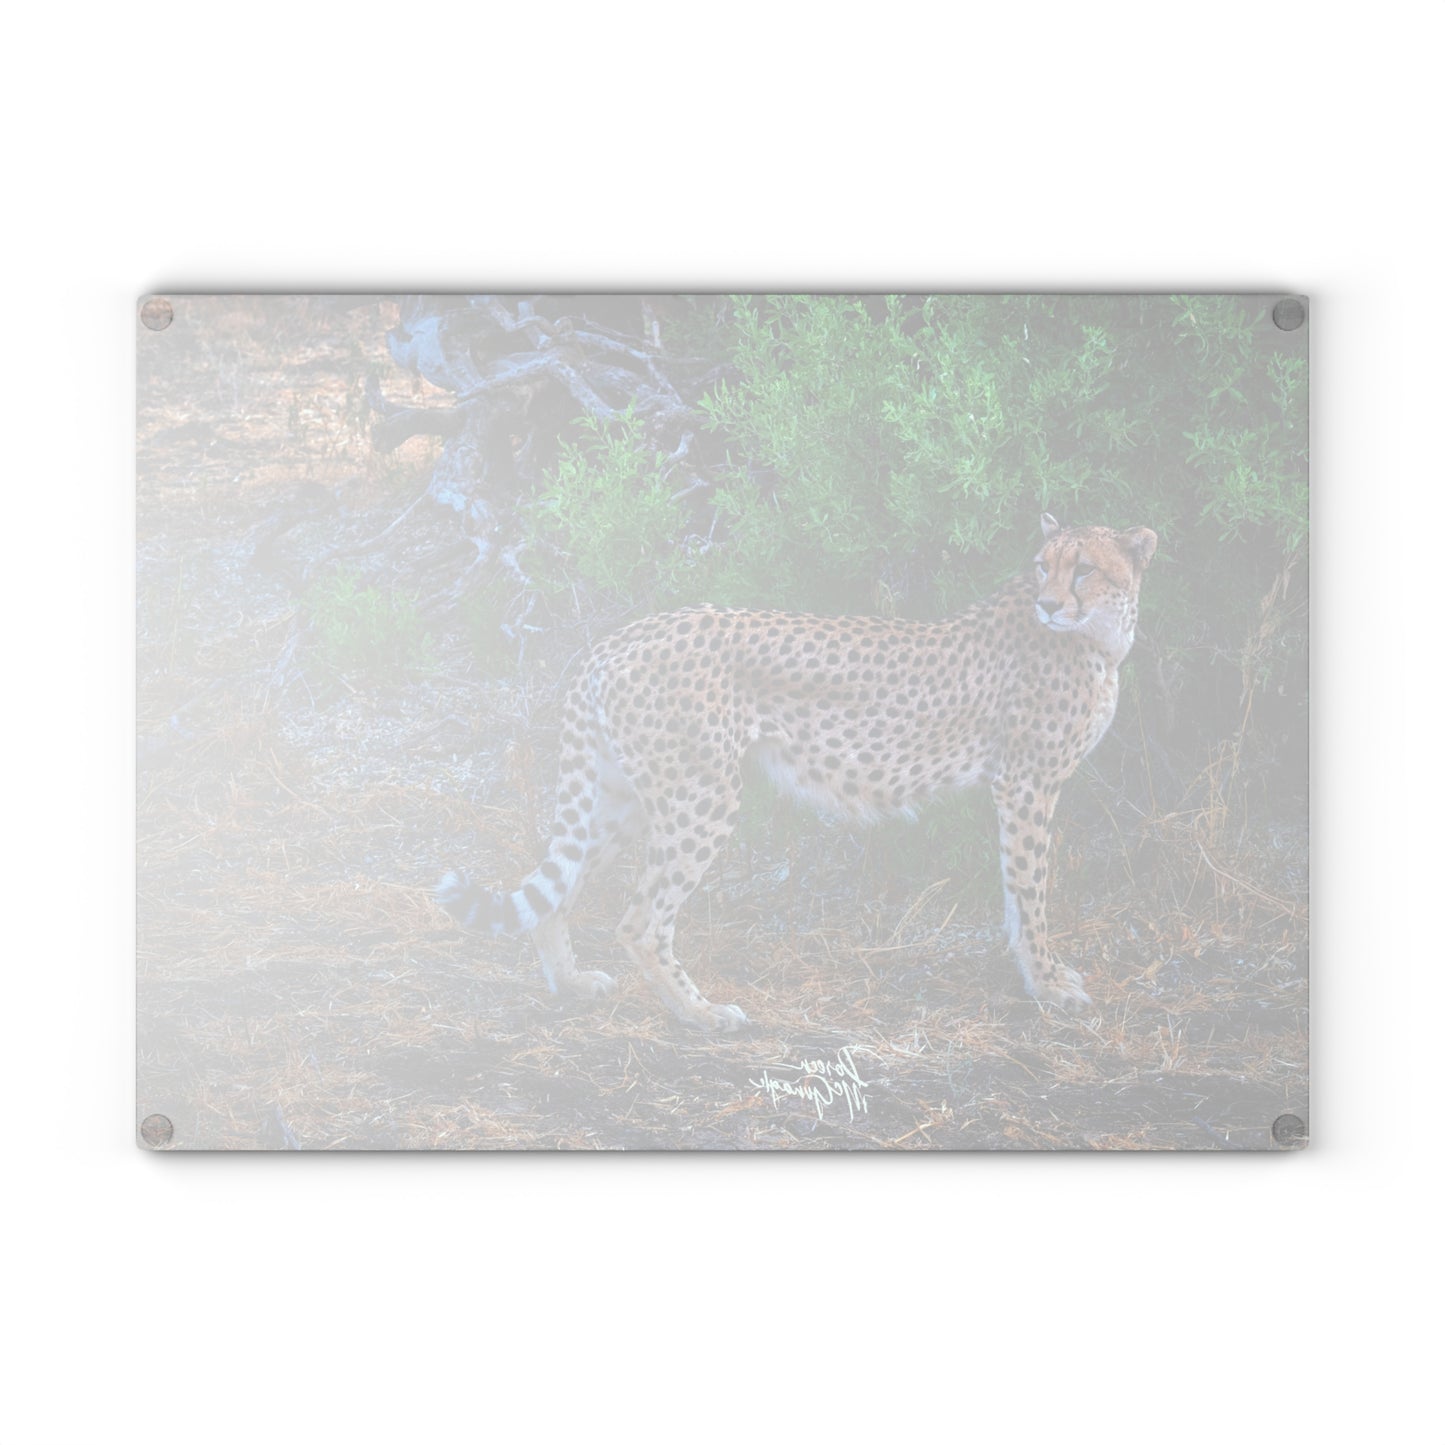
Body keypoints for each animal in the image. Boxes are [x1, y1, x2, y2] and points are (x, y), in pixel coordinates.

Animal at [437, 514, 1158, 1031]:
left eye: (1083, 568)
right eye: (1044, 566)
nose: (1048, 603)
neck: (1098, 635)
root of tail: (623, 634)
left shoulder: (1019, 785)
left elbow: (1017, 894)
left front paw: (1037, 976)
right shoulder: (1027, 783)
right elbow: (1030, 892)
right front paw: (1047, 983)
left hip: (623, 795)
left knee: (558, 891)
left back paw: (571, 983)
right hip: (701, 793)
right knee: (640, 920)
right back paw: (700, 1013)